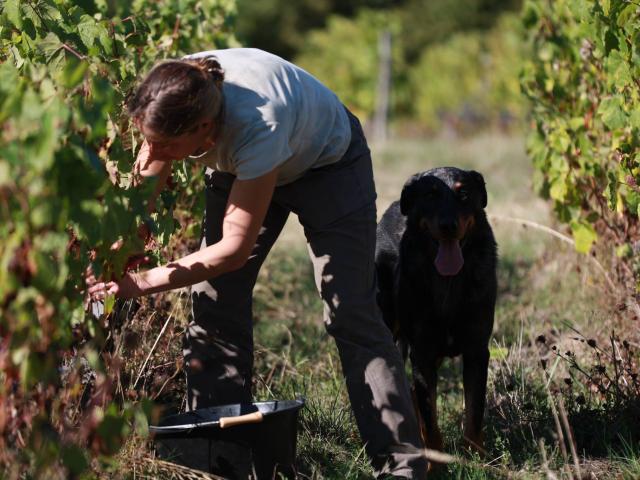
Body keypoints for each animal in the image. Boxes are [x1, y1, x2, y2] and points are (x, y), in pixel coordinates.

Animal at [378, 167, 498, 456]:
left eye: (464, 194)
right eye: (430, 196)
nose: (448, 226)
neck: (448, 283)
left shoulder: (477, 349)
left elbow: (475, 410)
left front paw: (477, 457)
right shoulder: (423, 351)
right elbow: (430, 418)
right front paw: (435, 460)